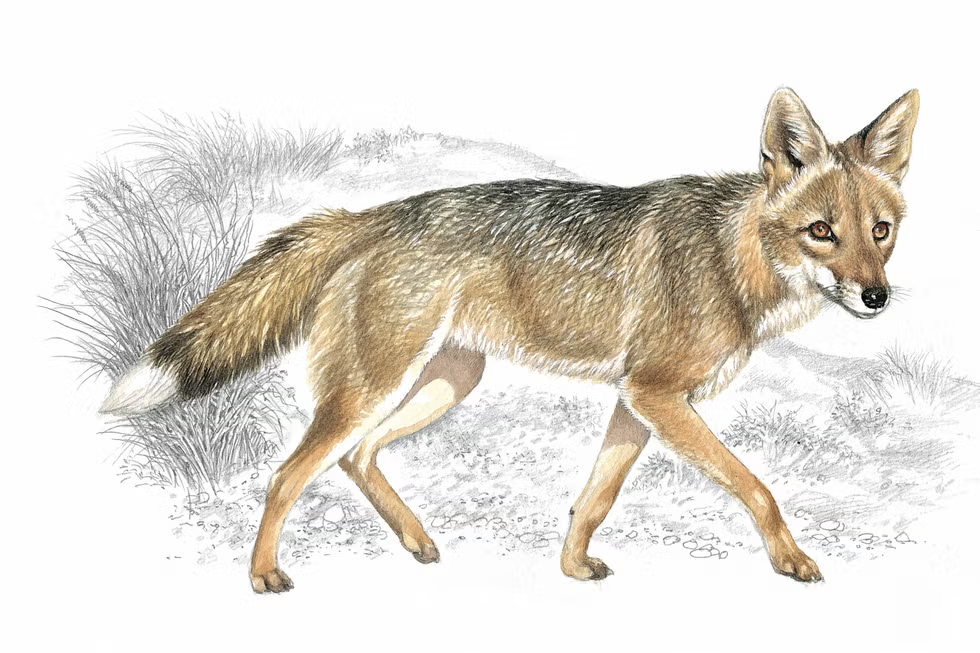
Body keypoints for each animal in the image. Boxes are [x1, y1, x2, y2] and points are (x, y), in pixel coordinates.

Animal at [101, 88, 919, 592]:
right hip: (372, 386)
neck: (733, 256)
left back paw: (416, 541)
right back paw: (264, 576)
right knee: (287, 472)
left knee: (358, 458)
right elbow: (757, 486)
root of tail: (371, 214)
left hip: (447, 382)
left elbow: (593, 498)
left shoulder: (637, 403)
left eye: (880, 232)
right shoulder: (657, 395)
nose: (877, 297)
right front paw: (792, 560)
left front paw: (571, 568)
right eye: (822, 232)